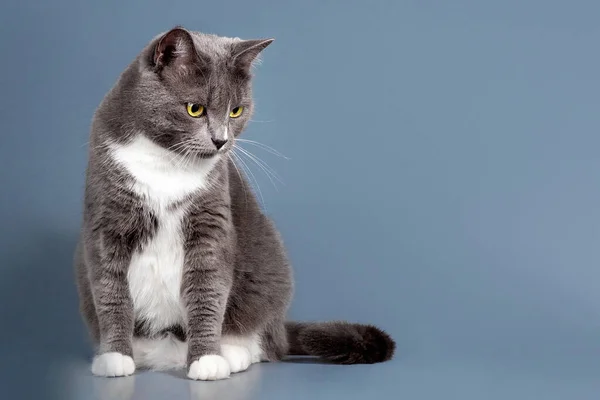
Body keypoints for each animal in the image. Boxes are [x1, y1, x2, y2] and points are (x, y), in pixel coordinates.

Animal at [74, 25, 394, 382]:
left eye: (235, 111)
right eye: (195, 109)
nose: (220, 140)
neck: (168, 162)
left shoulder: (211, 220)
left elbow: (208, 288)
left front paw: (207, 359)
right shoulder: (108, 220)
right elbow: (110, 291)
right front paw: (115, 357)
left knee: (266, 344)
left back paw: (232, 352)